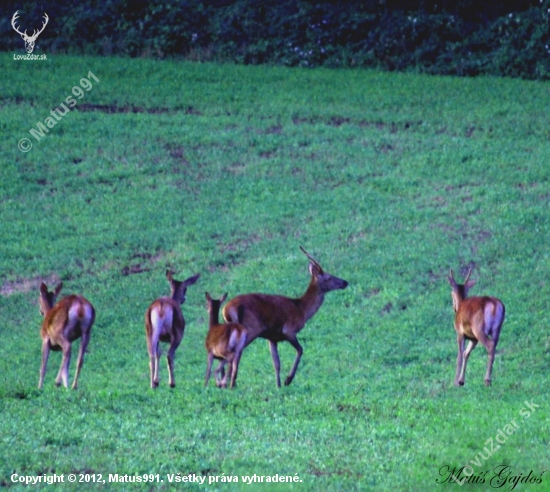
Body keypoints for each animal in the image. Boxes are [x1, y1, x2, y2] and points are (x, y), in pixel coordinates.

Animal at [221, 246, 348, 388]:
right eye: (329, 277)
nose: (345, 282)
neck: (301, 310)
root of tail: (227, 310)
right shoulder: (289, 330)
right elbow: (300, 350)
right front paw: (288, 379)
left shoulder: (272, 338)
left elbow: (276, 364)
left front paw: (278, 385)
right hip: (251, 328)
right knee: (233, 354)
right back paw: (230, 383)